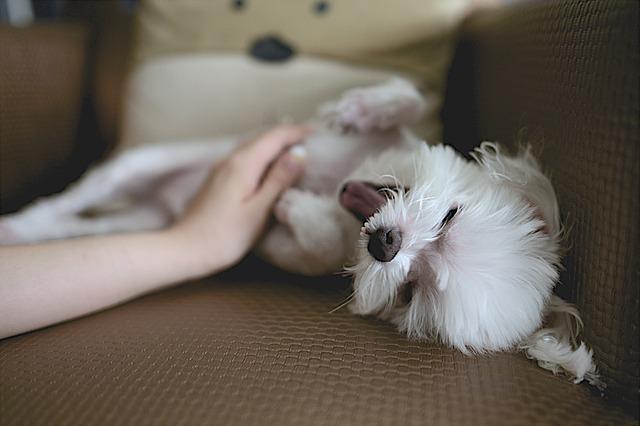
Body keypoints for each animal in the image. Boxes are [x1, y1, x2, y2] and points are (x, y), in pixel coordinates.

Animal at [0, 78, 600, 388]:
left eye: (411, 292)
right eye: (451, 216)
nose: (386, 245)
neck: (347, 183)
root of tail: (163, 202)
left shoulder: (298, 251)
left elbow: (311, 244)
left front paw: (296, 206)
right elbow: (408, 97)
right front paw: (362, 108)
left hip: (144, 221)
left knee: (77, 222)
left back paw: (25, 231)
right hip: (142, 164)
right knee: (83, 194)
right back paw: (20, 222)